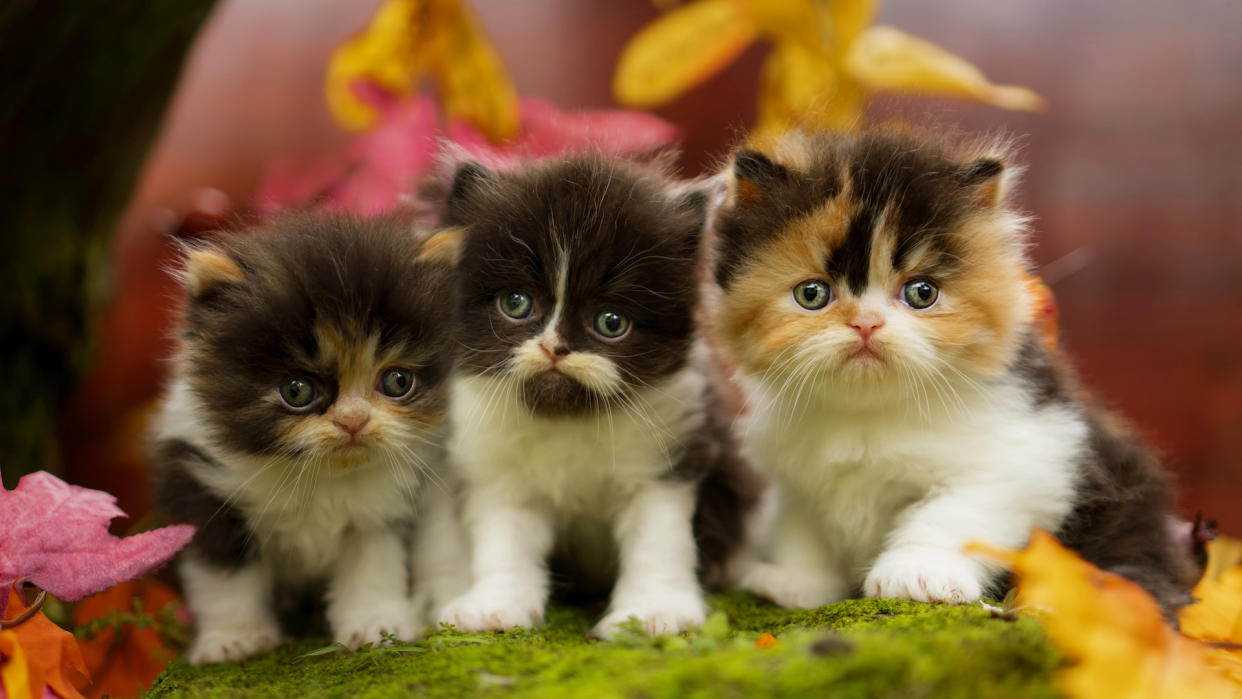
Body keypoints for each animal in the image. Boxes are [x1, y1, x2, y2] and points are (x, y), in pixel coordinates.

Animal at [145, 216, 457, 665]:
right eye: (296, 391)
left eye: (398, 381)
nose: (353, 420)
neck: (316, 475)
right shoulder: (204, 492)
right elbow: (223, 580)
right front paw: (232, 640)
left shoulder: (382, 510)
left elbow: (373, 566)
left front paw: (375, 625)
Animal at [427, 153, 755, 640]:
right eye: (516, 303)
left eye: (611, 322)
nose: (556, 348)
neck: (569, 420)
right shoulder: (499, 475)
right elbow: (505, 541)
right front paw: (495, 607)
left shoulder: (667, 457)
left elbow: (656, 541)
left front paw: (650, 614)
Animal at [715, 128, 1197, 615]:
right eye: (811, 294)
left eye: (922, 293)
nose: (866, 323)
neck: (867, 415)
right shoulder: (794, 481)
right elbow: (800, 529)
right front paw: (796, 582)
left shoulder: (1035, 451)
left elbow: (950, 515)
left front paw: (917, 573)